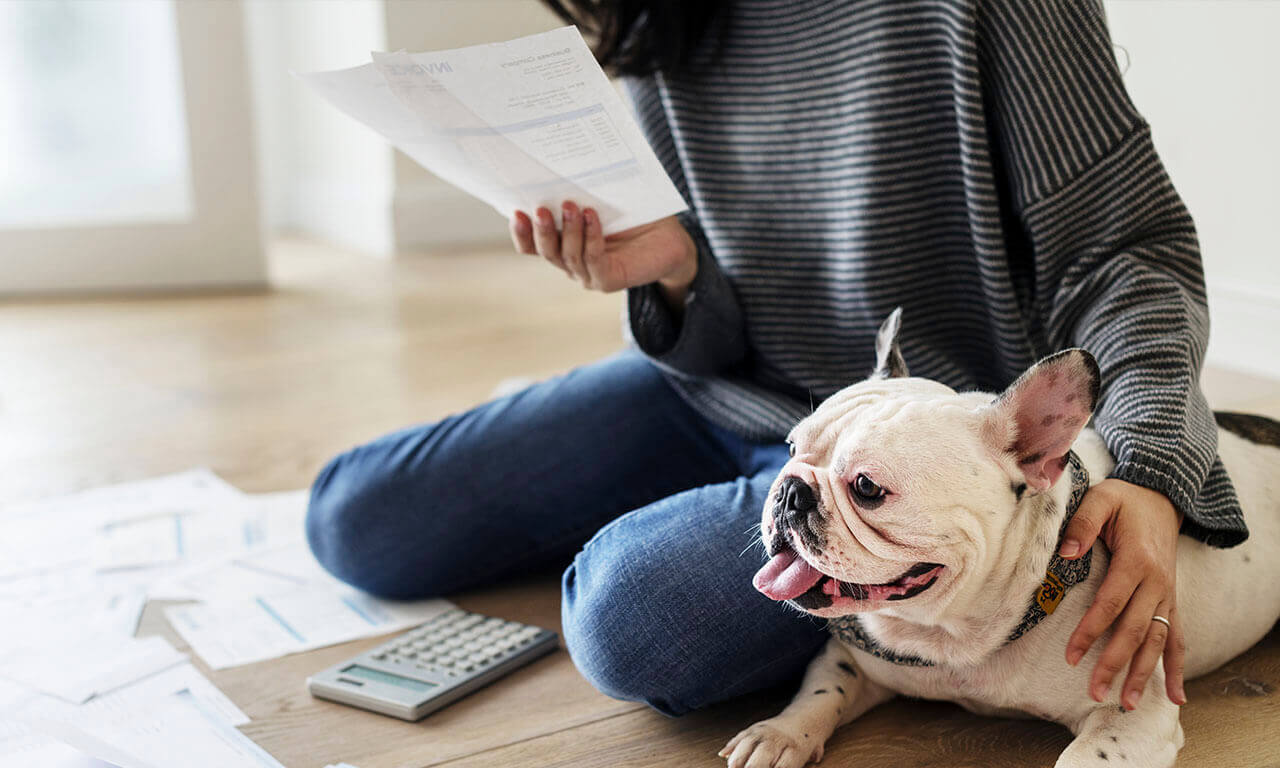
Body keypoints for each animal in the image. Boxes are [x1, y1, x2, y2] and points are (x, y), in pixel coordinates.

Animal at [721, 308, 1280, 762]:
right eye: (791, 448)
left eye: (866, 487)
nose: (789, 492)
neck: (952, 634)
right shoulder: (851, 655)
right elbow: (819, 693)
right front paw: (778, 734)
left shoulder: (1132, 715)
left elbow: (1084, 758)